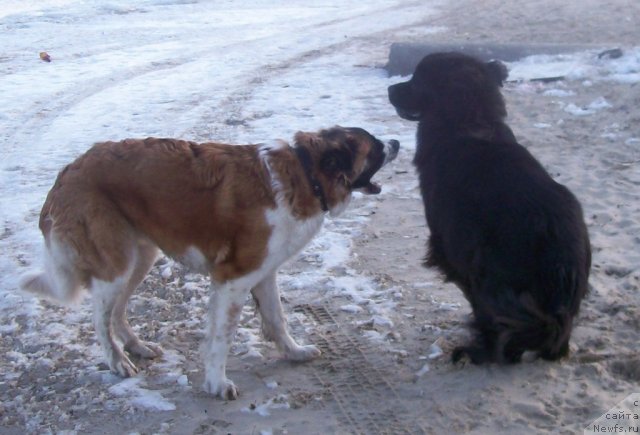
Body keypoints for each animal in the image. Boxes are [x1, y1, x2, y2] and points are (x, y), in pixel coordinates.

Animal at [20, 125, 398, 398]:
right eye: (375, 147)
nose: (396, 141)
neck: (306, 174)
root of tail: (68, 171)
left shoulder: (264, 273)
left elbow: (277, 319)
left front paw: (294, 352)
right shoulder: (233, 280)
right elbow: (222, 338)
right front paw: (217, 384)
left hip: (140, 257)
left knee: (117, 311)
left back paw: (137, 346)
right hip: (115, 263)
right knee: (99, 319)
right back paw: (117, 361)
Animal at [384, 51, 592, 364]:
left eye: (417, 78)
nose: (389, 89)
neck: (470, 121)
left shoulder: (452, 249)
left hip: (488, 272)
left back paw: (479, 349)